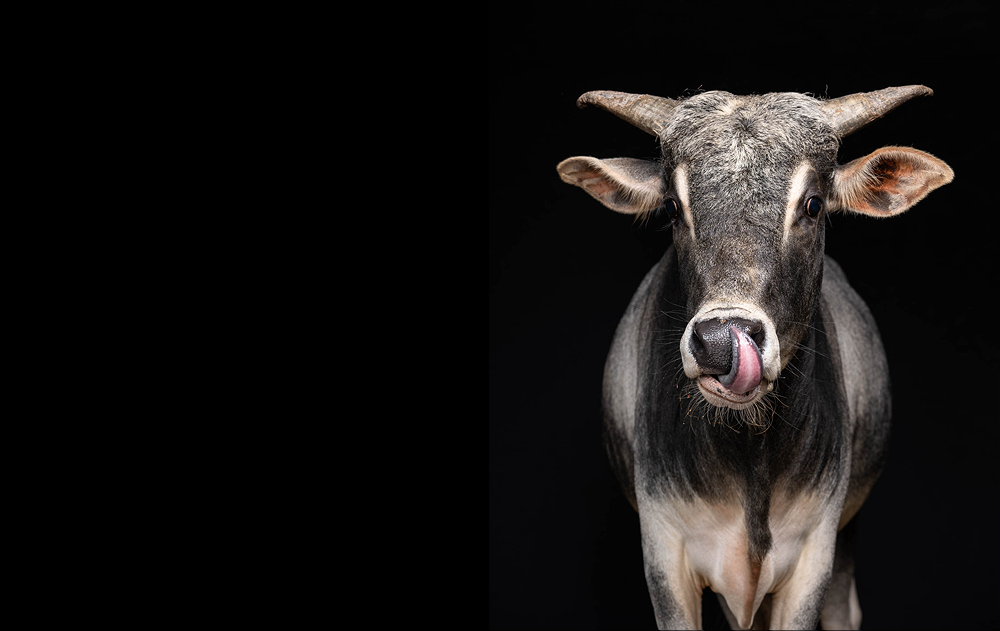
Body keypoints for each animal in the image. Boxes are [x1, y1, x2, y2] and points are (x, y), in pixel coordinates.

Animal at [556, 86, 953, 630]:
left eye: (813, 205)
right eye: (673, 208)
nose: (722, 341)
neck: (751, 454)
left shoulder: (814, 556)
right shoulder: (664, 554)